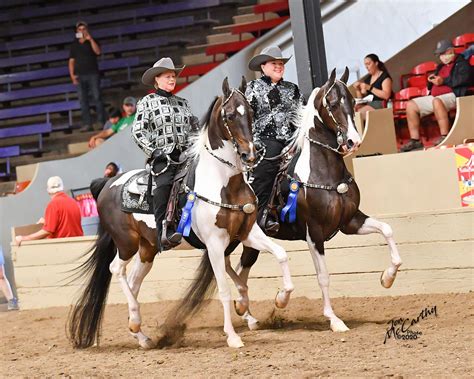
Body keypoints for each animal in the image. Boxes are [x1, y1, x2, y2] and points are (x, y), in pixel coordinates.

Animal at [68, 78, 294, 352]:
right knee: (116, 269)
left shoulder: (247, 233)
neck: (224, 182)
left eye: (251, 113)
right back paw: (136, 321)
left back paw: (141, 335)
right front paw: (232, 336)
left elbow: (280, 255)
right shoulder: (215, 243)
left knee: (133, 280)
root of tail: (108, 183)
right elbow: (224, 289)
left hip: (147, 248)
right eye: (230, 115)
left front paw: (280, 299)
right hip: (126, 243)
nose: (250, 153)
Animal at [235, 68, 402, 332]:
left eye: (352, 101)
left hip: (251, 243)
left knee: (241, 270)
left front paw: (387, 277)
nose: (354, 141)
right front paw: (334, 319)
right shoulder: (313, 232)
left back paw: (248, 316)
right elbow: (323, 276)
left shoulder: (350, 221)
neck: (323, 172)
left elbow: (386, 229)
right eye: (332, 104)